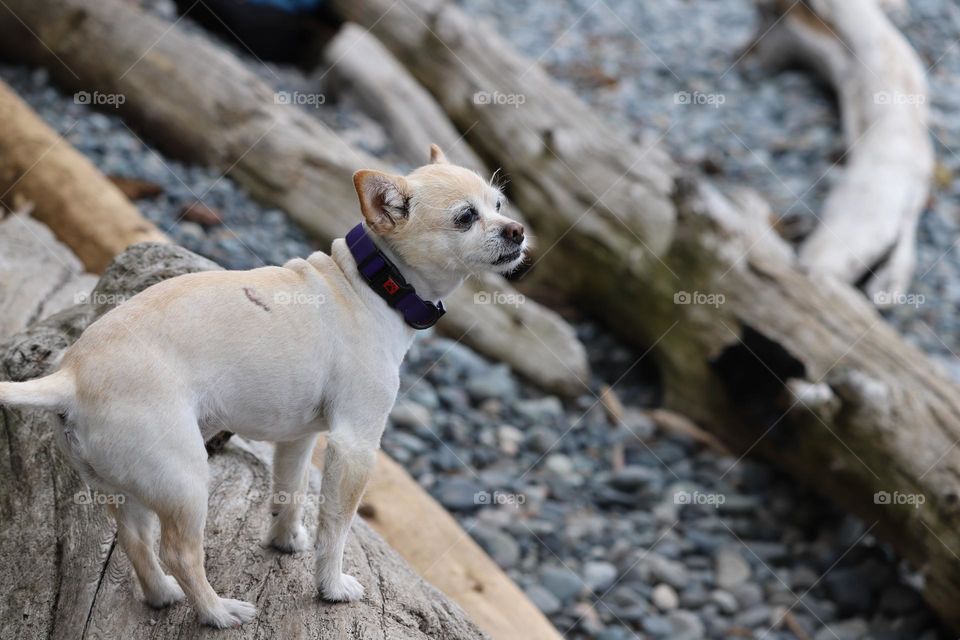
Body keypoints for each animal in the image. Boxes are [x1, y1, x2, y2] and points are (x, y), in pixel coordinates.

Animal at [0, 144, 524, 624]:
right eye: (465, 218)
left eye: (499, 204)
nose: (517, 230)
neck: (375, 284)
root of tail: (70, 376)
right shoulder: (355, 446)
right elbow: (336, 528)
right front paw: (331, 586)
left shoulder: (300, 438)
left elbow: (289, 492)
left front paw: (285, 541)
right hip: (185, 479)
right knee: (180, 553)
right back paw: (216, 612)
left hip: (124, 487)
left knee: (135, 541)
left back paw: (162, 595)